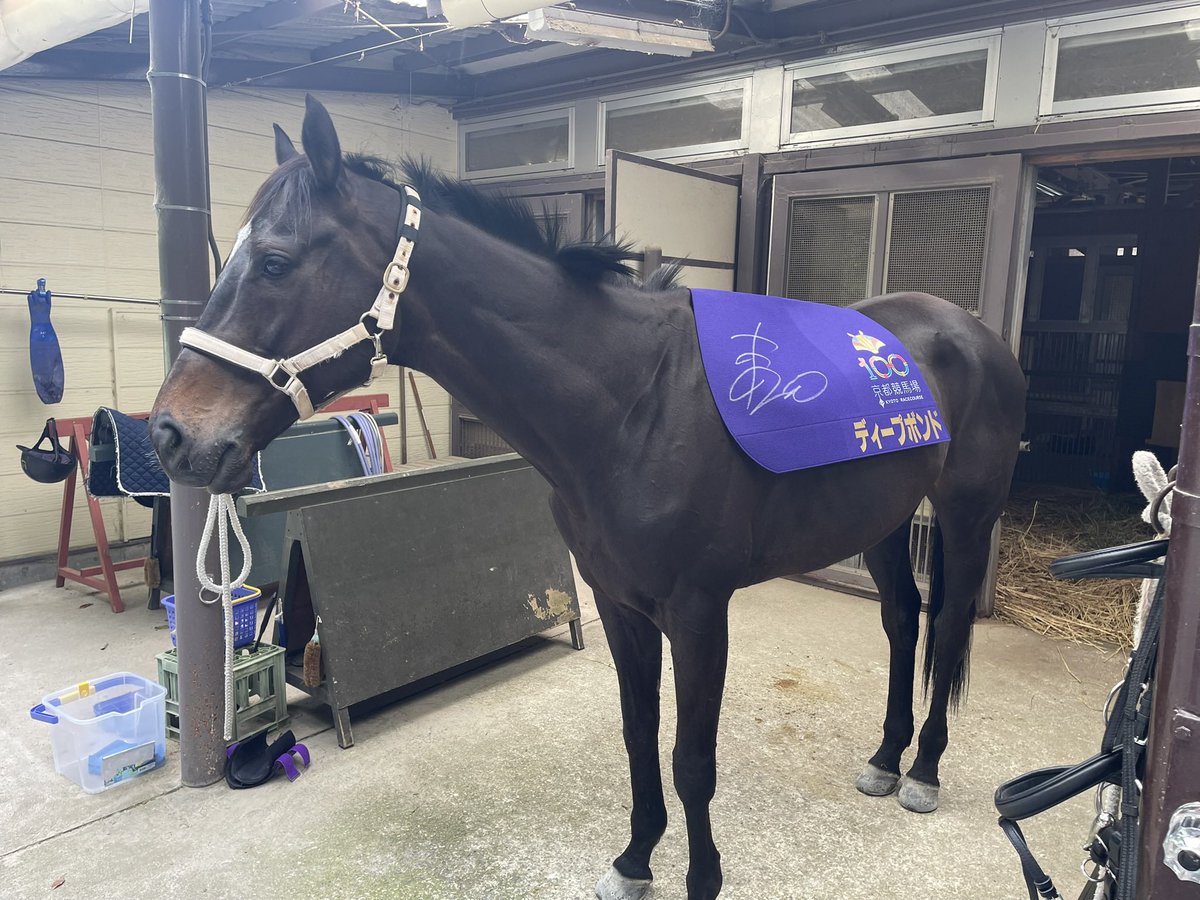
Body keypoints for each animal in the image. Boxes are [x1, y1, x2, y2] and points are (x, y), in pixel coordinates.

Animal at [150, 95, 1027, 900]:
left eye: (274, 261)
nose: (169, 434)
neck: (634, 400)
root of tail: (969, 332)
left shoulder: (699, 613)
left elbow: (691, 758)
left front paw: (702, 877)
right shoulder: (621, 603)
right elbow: (640, 738)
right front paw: (635, 861)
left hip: (965, 516)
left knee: (947, 624)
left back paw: (923, 770)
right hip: (882, 520)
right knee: (902, 621)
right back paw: (885, 758)